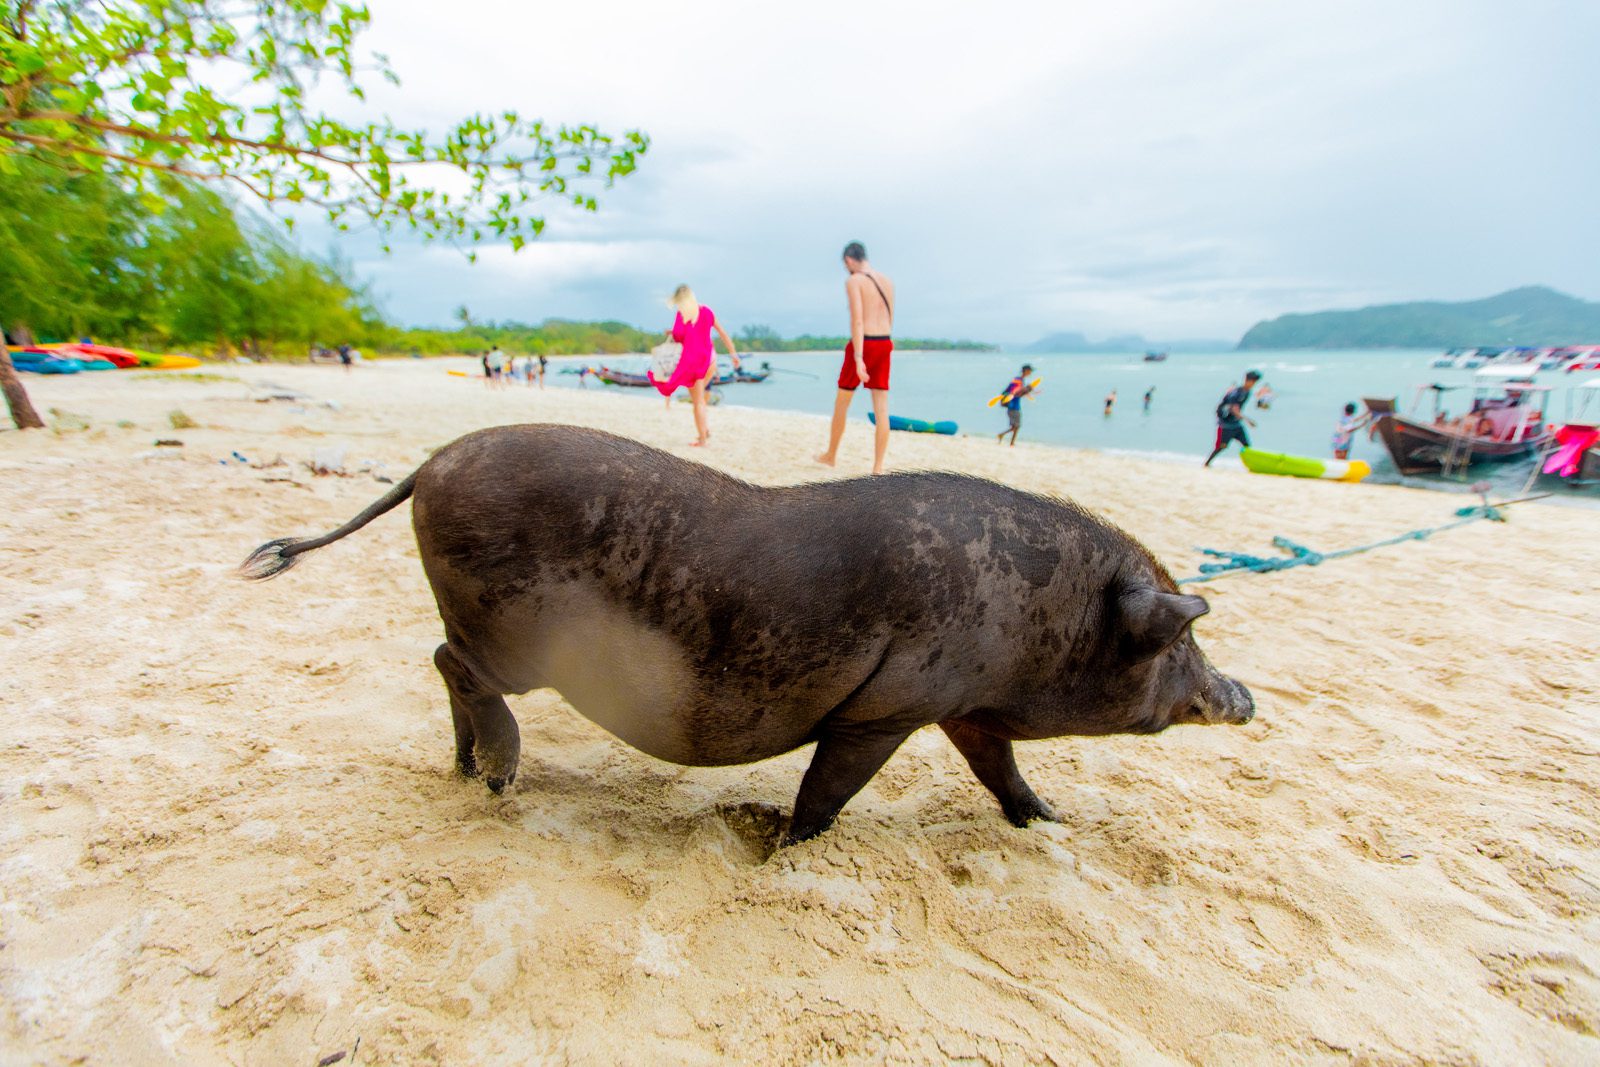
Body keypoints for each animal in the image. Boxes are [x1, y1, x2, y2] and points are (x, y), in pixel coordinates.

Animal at [242, 425, 1253, 845]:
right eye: (1178, 640)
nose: (1244, 694)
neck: (1051, 621)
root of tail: (429, 463)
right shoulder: (888, 708)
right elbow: (829, 791)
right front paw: (779, 843)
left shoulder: (960, 706)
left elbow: (998, 769)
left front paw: (1052, 822)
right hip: (505, 633)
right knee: (450, 662)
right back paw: (500, 774)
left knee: (444, 667)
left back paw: (469, 777)